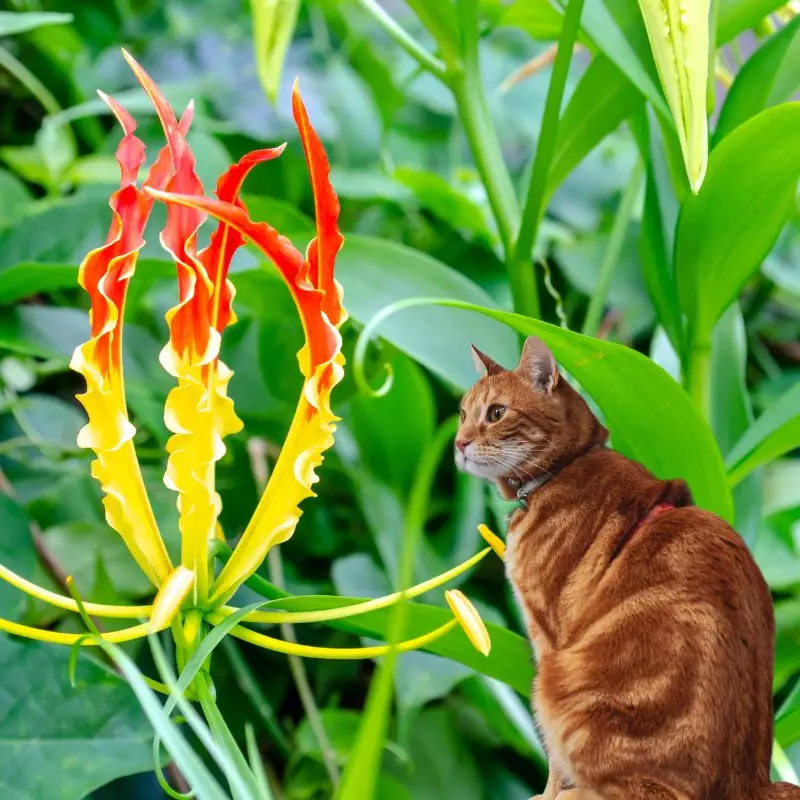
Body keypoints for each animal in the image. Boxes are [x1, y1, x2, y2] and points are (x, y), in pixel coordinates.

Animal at [454, 338, 796, 800]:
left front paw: (549, 793)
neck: (564, 469)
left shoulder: (548, 637)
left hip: (560, 684)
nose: (458, 443)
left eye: (495, 413)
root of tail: (752, 784)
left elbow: (553, 759)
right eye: (462, 413)